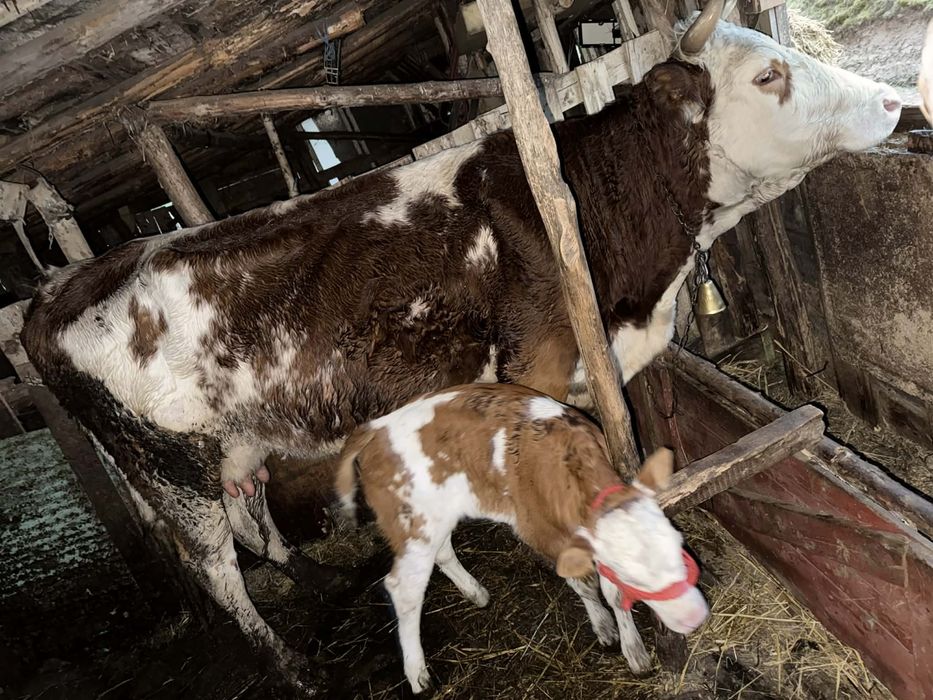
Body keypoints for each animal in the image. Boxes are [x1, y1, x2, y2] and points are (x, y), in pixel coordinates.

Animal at [335, 383, 707, 694]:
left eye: (679, 547)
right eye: (634, 577)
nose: (695, 617)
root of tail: (374, 428)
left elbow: (611, 592)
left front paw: (631, 647)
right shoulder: (540, 531)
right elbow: (585, 584)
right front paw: (606, 627)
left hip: (436, 516)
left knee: (441, 553)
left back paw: (476, 593)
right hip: (412, 524)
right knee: (403, 589)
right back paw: (417, 673)